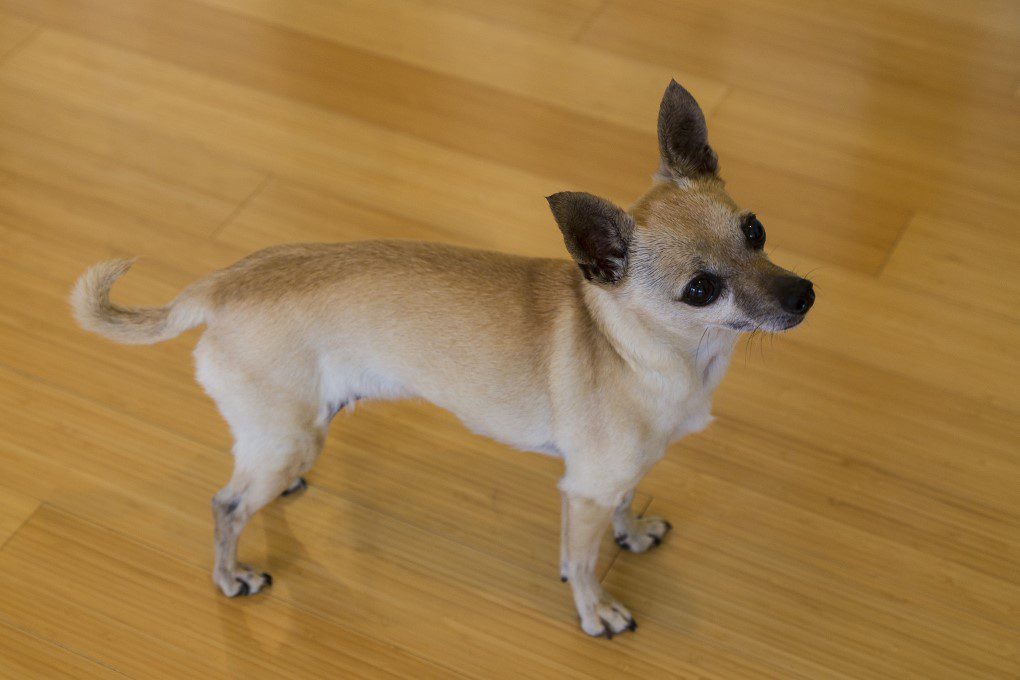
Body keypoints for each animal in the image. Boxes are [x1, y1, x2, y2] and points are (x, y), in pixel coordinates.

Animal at [69, 80, 811, 640]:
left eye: (755, 231)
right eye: (700, 291)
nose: (804, 295)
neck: (645, 345)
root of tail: (221, 286)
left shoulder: (614, 476)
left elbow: (621, 510)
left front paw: (629, 535)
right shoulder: (586, 488)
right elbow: (582, 556)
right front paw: (595, 608)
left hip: (292, 433)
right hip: (286, 436)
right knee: (225, 506)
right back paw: (231, 576)